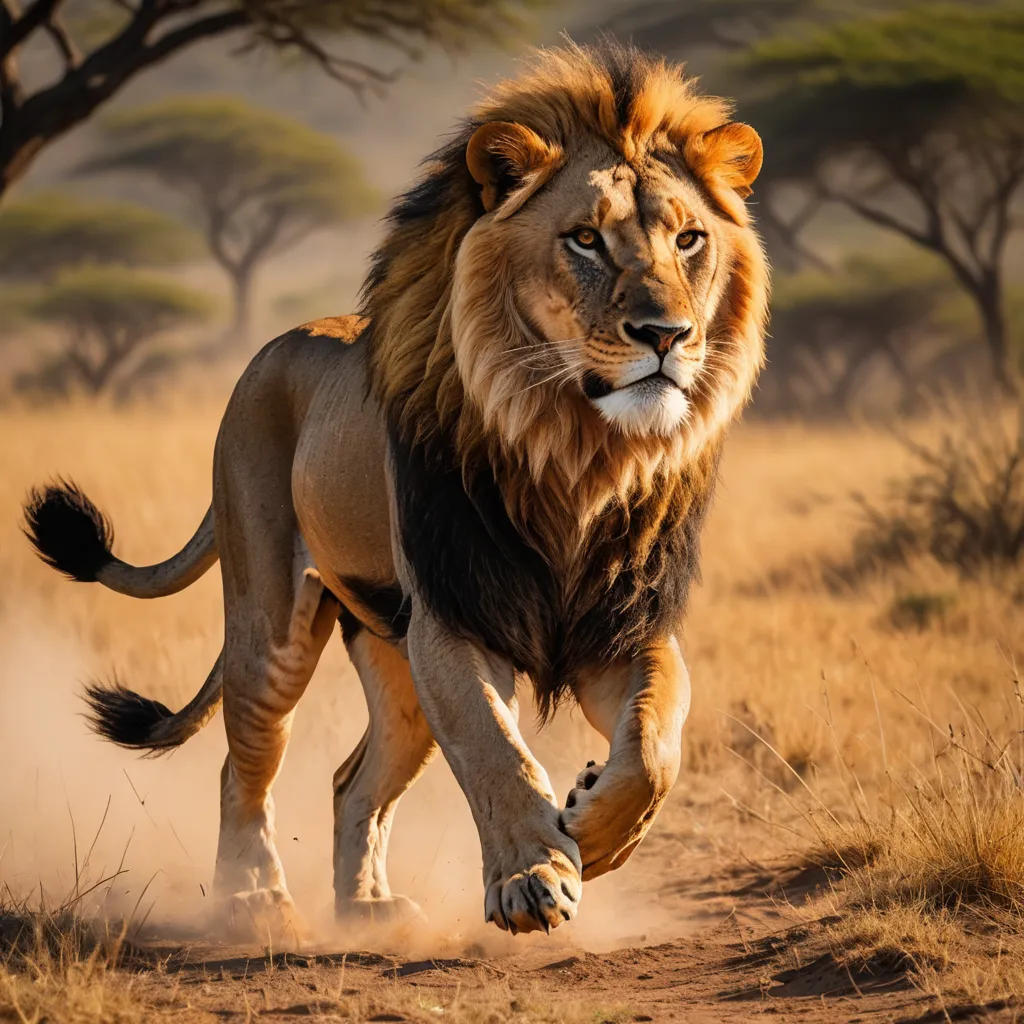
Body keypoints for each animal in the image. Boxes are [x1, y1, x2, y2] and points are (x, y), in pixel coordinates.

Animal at [23, 42, 768, 938]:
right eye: (585, 239)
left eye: (690, 239)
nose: (666, 335)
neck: (577, 451)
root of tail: (271, 351)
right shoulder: (454, 618)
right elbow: (494, 748)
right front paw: (531, 877)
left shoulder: (621, 624)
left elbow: (658, 740)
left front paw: (592, 823)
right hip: (272, 630)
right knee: (244, 767)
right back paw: (254, 903)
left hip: (393, 659)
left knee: (353, 782)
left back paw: (369, 909)